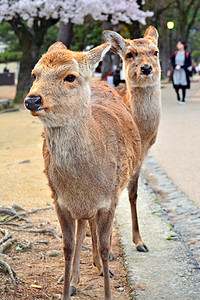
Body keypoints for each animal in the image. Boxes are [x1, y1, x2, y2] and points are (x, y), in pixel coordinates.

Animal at [24, 40, 141, 300]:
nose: (32, 100)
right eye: (35, 74)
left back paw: (100, 267)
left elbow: (106, 246)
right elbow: (67, 246)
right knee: (83, 226)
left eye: (70, 76)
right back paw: (76, 279)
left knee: (93, 228)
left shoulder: (108, 199)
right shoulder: (60, 200)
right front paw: (66, 289)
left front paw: (107, 287)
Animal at [103, 27, 161, 253]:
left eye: (155, 52)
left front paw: (140, 242)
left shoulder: (142, 155)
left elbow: (133, 193)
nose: (145, 68)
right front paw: (108, 252)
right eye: (129, 54)